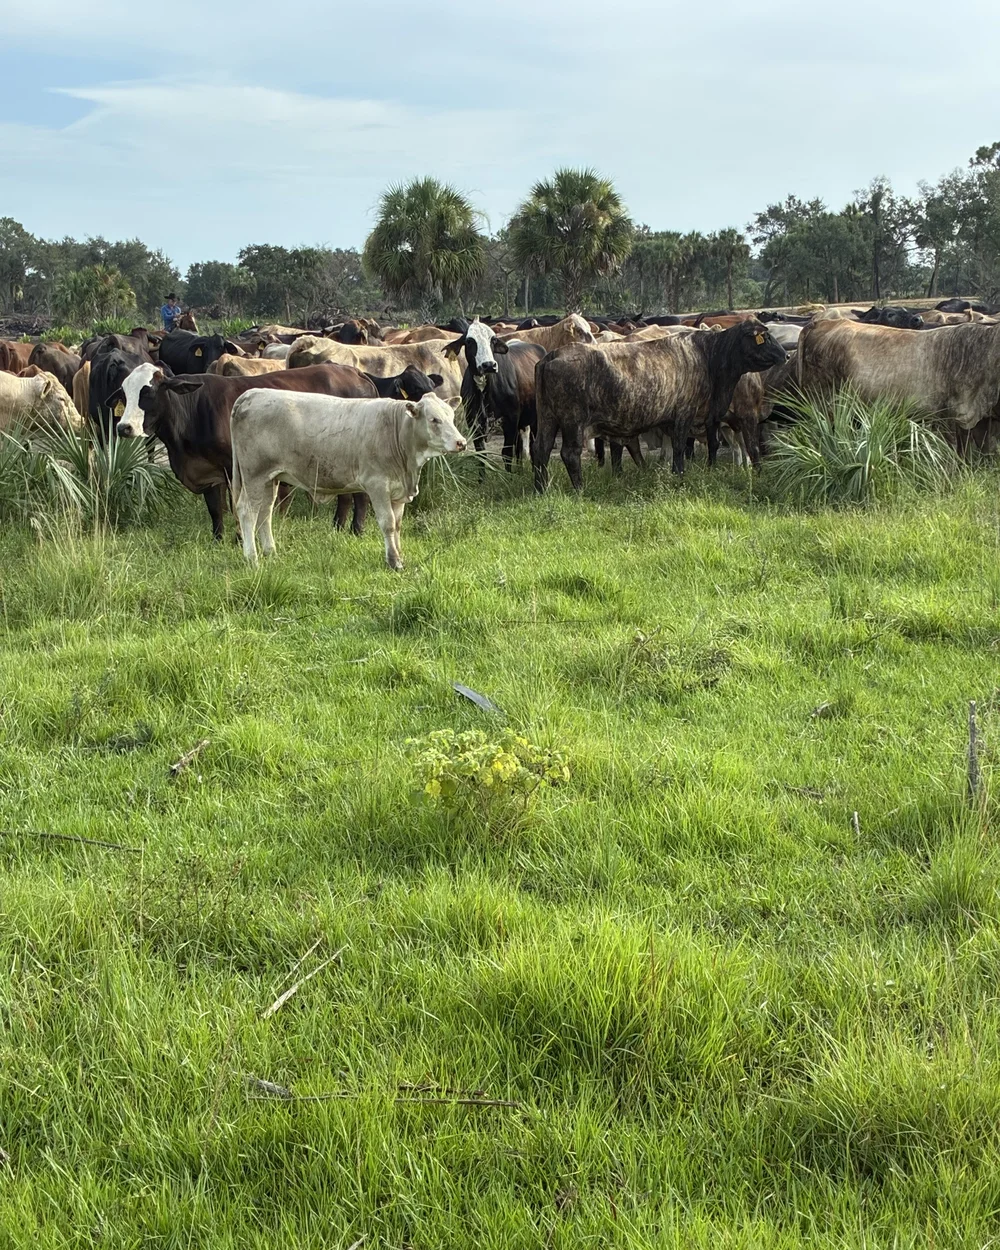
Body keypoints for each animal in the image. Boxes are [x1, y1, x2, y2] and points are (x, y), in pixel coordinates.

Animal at [114, 364, 380, 539]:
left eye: (148, 391)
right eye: (124, 394)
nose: (123, 427)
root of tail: (356, 372)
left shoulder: (233, 468)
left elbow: (235, 506)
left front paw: (240, 538)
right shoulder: (209, 472)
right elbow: (215, 508)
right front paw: (218, 539)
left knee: (360, 495)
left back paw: (356, 530)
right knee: (345, 495)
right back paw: (338, 528)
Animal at [231, 391, 466, 569]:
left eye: (451, 417)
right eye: (434, 419)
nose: (461, 442)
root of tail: (252, 393)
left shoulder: (398, 493)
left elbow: (398, 525)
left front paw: (400, 557)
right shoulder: (377, 485)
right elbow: (388, 524)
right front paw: (393, 562)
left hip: (269, 479)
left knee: (265, 512)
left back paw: (271, 552)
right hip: (254, 475)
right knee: (247, 512)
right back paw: (252, 560)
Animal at [443, 320, 545, 468]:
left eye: (493, 340)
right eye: (469, 341)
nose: (489, 365)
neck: (484, 391)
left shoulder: (511, 418)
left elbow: (507, 453)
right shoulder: (473, 422)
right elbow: (481, 455)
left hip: (536, 419)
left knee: (533, 447)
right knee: (520, 448)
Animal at [533, 319, 787, 490]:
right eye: (765, 338)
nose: (785, 355)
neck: (708, 355)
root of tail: (552, 356)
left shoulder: (704, 419)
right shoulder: (684, 413)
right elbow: (679, 447)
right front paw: (679, 475)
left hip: (547, 418)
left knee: (540, 450)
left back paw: (541, 488)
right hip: (572, 420)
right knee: (569, 453)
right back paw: (579, 489)